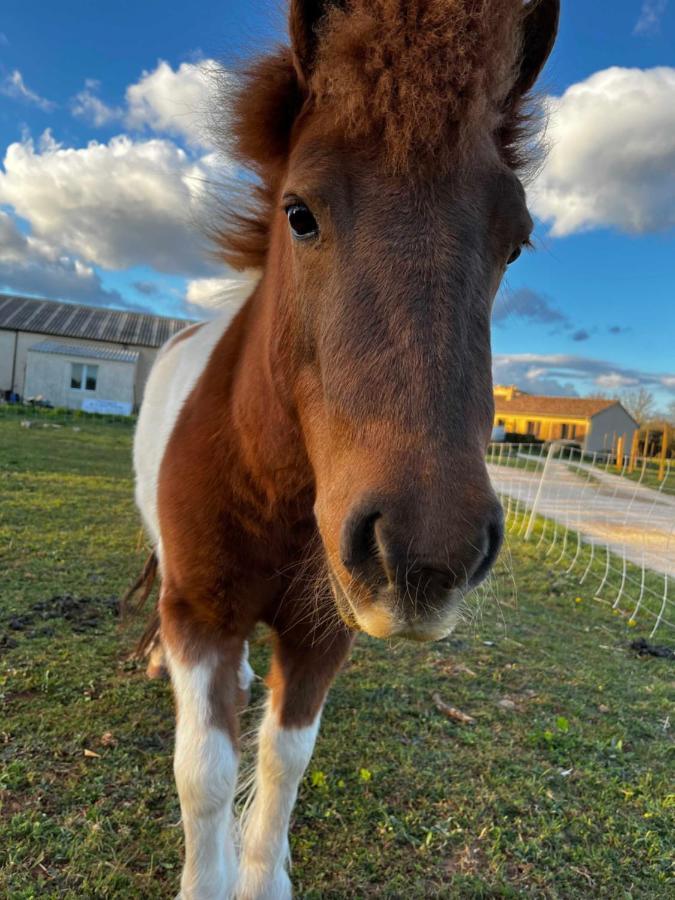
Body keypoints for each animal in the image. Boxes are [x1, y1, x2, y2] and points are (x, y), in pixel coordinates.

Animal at [131, 3, 560, 896]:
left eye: (514, 241)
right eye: (299, 212)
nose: (425, 555)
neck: (267, 483)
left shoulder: (321, 636)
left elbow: (282, 762)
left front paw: (264, 874)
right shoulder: (199, 617)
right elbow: (205, 774)